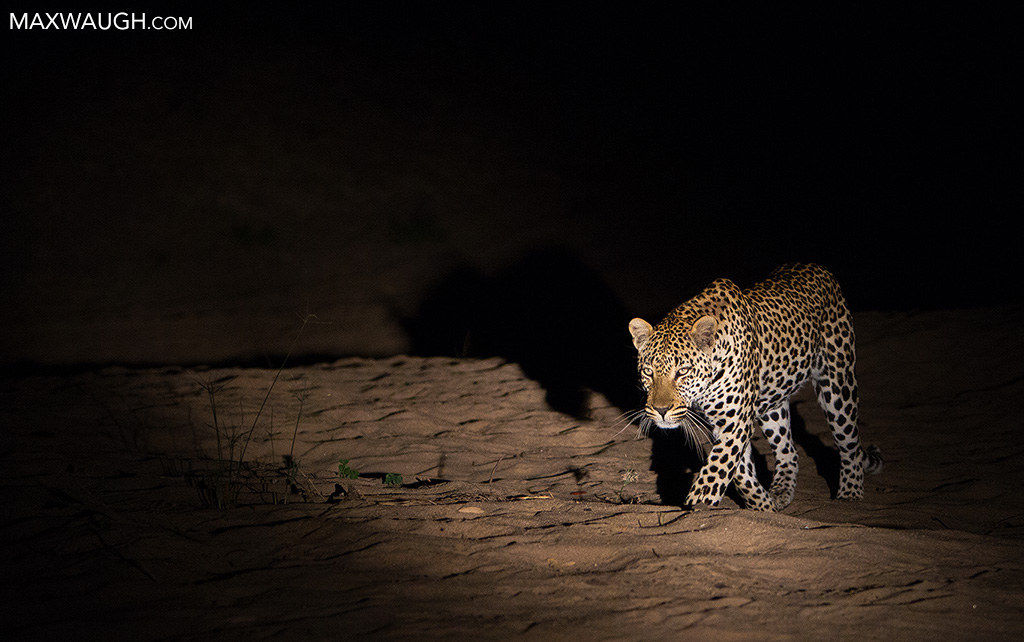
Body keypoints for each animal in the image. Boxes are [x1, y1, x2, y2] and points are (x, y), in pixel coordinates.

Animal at [628, 263, 882, 511]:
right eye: (648, 372)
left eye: (682, 372)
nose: (661, 410)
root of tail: (818, 267)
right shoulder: (724, 424)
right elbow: (741, 474)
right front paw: (764, 508)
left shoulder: (734, 422)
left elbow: (716, 468)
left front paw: (699, 504)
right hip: (773, 403)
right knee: (788, 450)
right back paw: (780, 492)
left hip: (838, 386)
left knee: (849, 443)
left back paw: (850, 495)